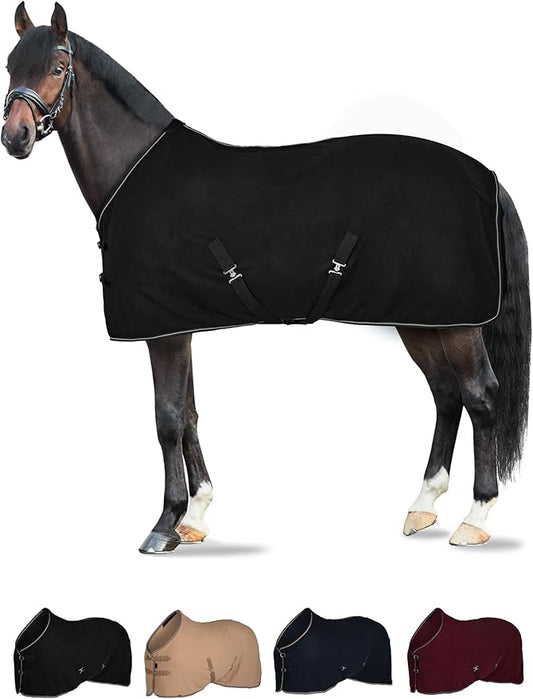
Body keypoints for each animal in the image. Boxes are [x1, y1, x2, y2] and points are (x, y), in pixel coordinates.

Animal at [2, 3, 530, 554]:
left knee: (481, 396)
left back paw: (476, 517)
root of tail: (487, 178)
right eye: (10, 67)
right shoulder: (180, 325)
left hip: (458, 323)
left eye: (56, 68)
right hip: (422, 319)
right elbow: (190, 413)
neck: (134, 170)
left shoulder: (163, 333)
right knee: (447, 395)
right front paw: (196, 516)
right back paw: (423, 505)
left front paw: (165, 524)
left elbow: (167, 419)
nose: (15, 137)